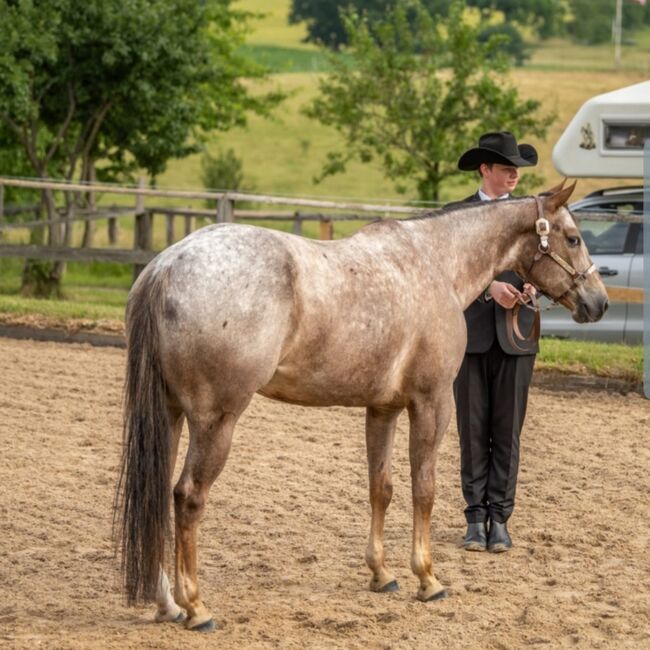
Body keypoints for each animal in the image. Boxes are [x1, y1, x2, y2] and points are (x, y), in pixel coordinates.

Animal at [115, 181, 608, 628]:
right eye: (573, 237)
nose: (599, 302)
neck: (436, 262)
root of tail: (167, 265)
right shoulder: (431, 403)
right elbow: (424, 489)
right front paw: (428, 579)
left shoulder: (382, 408)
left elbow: (381, 488)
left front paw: (381, 574)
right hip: (216, 421)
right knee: (187, 497)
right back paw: (196, 608)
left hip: (169, 416)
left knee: (157, 497)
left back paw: (167, 604)